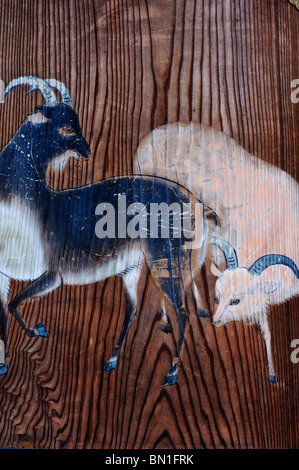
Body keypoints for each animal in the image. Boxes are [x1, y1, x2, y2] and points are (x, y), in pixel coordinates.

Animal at [135, 120, 298, 382]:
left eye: (235, 300)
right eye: (218, 297)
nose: (216, 321)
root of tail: (148, 139)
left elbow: (266, 327)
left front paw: (272, 372)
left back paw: (197, 308)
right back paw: (166, 322)